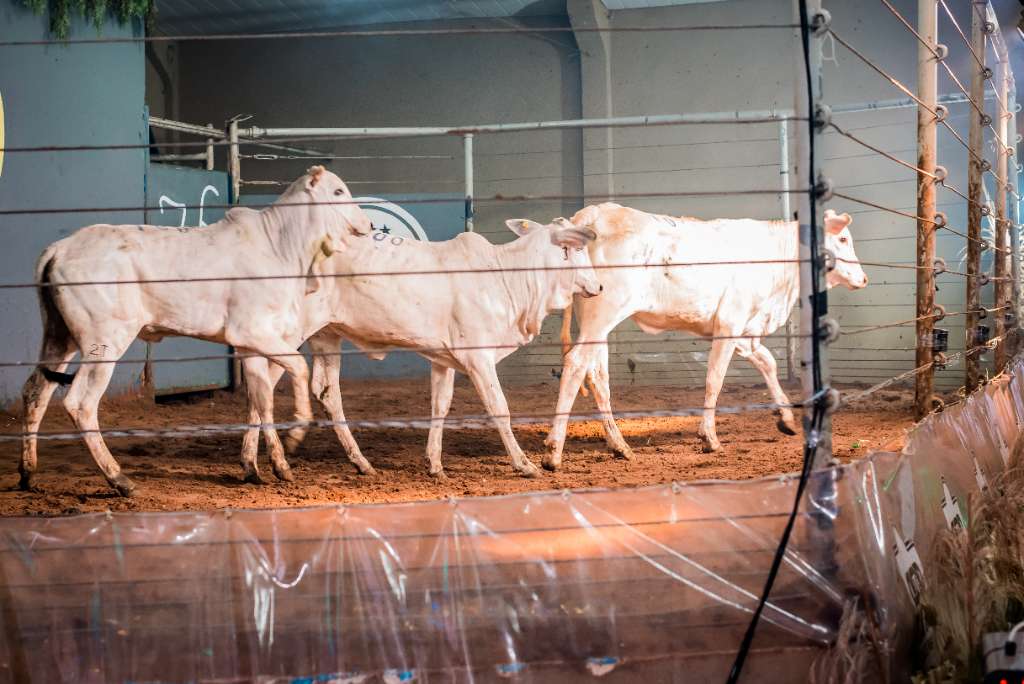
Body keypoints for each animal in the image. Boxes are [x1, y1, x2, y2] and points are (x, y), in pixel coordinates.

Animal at [22, 167, 372, 493]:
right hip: (104, 342)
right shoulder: (251, 332)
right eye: (338, 191)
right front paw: (297, 432)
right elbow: (298, 368)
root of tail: (60, 248)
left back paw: (28, 473)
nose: (368, 225)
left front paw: (271, 467)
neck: (281, 247)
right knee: (80, 403)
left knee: (35, 391)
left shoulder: (250, 346)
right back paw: (119, 479)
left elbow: (261, 399)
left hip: (59, 336)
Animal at [237, 216, 598, 479]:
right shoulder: (479, 357)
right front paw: (524, 464)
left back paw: (356, 462)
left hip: (326, 334)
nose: (599, 286)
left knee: (325, 391)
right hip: (289, 332)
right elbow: (500, 408)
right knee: (263, 385)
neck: (507, 279)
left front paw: (434, 464)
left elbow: (440, 405)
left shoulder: (445, 359)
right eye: (578, 250)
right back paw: (266, 463)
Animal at [548, 202, 868, 471]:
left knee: (598, 376)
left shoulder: (743, 328)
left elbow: (767, 362)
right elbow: (715, 379)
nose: (863, 278)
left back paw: (619, 445)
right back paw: (553, 452)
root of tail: (591, 213)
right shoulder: (730, 323)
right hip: (604, 312)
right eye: (843, 239)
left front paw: (786, 418)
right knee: (576, 364)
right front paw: (709, 438)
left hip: (595, 322)